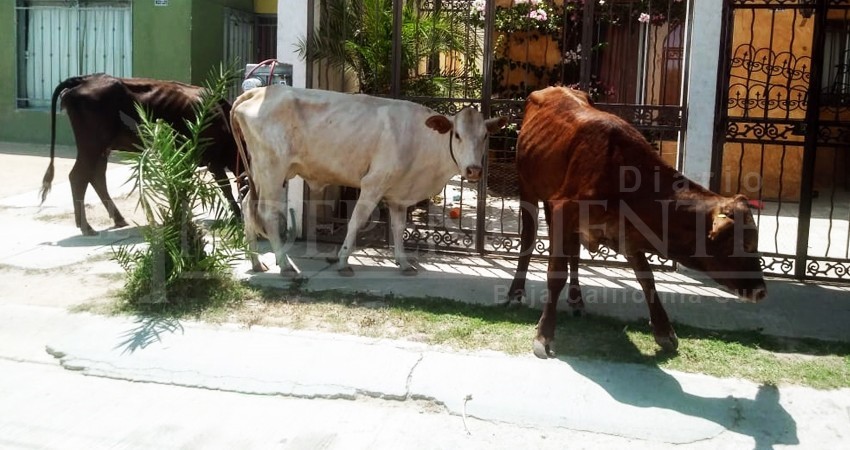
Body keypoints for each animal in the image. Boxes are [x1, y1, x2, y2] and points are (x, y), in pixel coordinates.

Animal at [40, 73, 242, 236]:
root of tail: (85, 79)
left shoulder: (187, 159)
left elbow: (182, 186)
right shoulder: (212, 158)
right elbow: (225, 187)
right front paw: (238, 215)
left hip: (101, 148)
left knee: (96, 177)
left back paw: (117, 219)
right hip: (91, 146)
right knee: (79, 176)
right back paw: (86, 227)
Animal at [231, 85, 506, 276]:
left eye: (485, 136)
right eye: (457, 135)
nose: (474, 170)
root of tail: (258, 92)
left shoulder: (399, 196)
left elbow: (398, 227)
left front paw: (403, 263)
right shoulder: (374, 183)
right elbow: (356, 221)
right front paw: (343, 261)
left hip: (260, 171)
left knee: (246, 208)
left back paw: (256, 261)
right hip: (272, 170)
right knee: (266, 213)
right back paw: (285, 265)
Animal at [506, 86, 766, 359]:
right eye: (745, 245)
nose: (761, 290)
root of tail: (552, 88)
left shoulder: (625, 230)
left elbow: (647, 278)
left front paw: (664, 331)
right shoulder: (563, 209)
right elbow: (555, 274)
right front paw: (544, 335)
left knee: (574, 253)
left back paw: (577, 299)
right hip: (528, 190)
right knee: (529, 238)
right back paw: (516, 293)